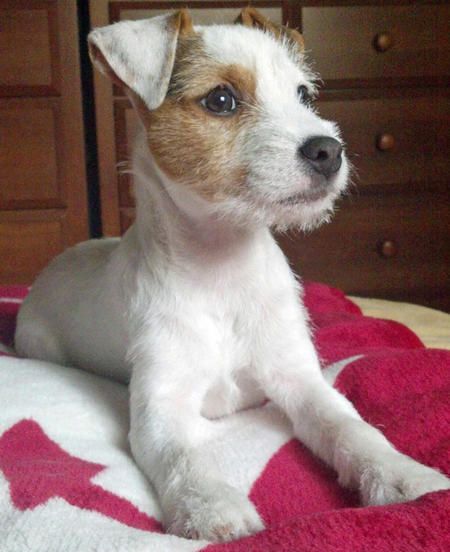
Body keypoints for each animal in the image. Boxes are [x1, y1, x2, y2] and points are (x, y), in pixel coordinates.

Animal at [14, 7, 450, 544]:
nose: (329, 151)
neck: (221, 267)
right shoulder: (161, 408)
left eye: (304, 94)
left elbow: (351, 426)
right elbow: (182, 455)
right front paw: (210, 506)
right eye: (221, 100)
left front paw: (402, 474)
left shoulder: (300, 380)